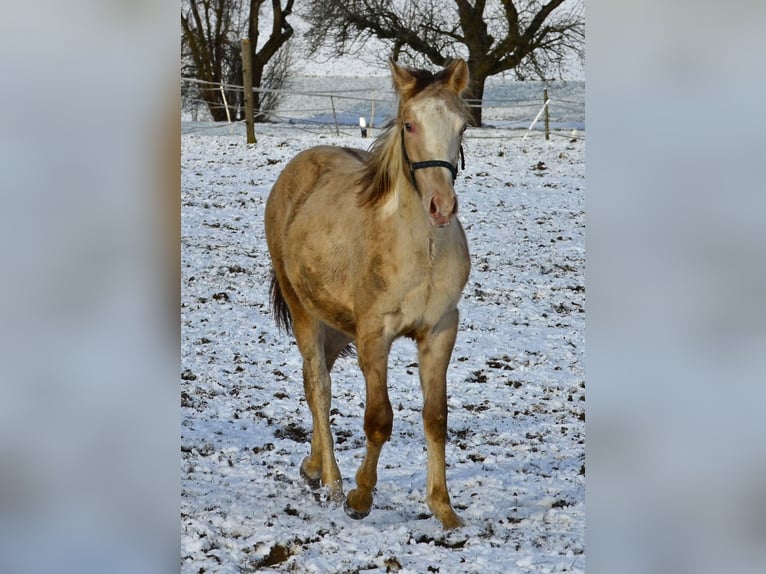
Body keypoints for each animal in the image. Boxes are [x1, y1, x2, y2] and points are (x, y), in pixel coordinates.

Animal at [266, 58, 474, 532]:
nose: (441, 206)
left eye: (462, 126)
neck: (419, 249)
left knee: (314, 379)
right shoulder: (374, 335)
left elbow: (436, 417)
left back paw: (311, 467)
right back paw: (332, 482)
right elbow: (379, 418)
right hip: (305, 310)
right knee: (318, 386)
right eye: (409, 124)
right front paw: (359, 497)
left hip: (337, 324)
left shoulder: (440, 330)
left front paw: (443, 507)